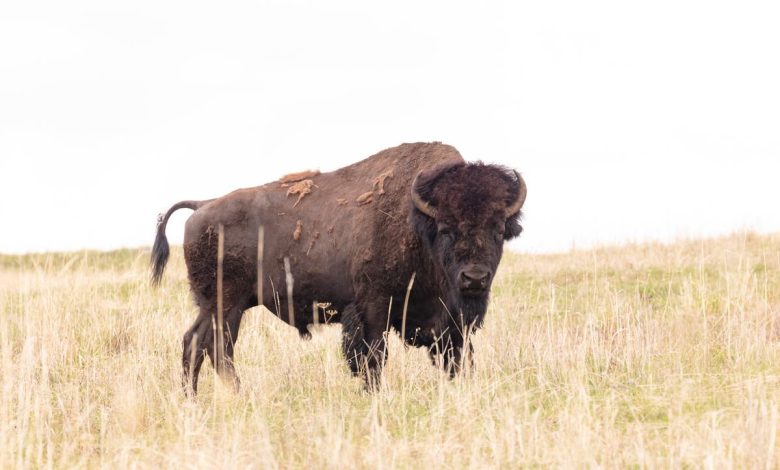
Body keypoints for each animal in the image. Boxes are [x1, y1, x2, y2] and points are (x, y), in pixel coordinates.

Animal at [149, 141, 528, 392]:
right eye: (446, 229)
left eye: (498, 229)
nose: (474, 278)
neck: (420, 224)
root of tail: (203, 205)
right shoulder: (373, 308)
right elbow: (373, 357)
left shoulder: (451, 323)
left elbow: (456, 358)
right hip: (226, 305)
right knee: (215, 347)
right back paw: (233, 394)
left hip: (217, 305)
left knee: (197, 344)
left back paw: (195, 398)